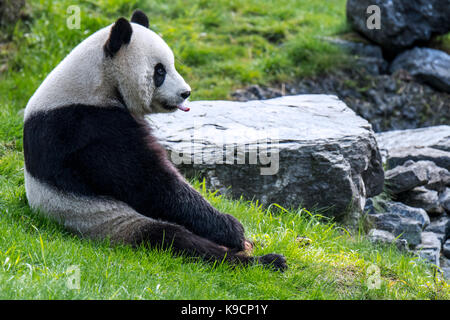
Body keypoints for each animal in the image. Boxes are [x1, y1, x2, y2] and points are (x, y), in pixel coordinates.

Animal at [22, 9, 286, 270]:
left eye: (172, 65)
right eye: (160, 71)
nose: (186, 92)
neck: (96, 81)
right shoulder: (87, 126)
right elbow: (149, 184)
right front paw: (232, 229)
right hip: (108, 222)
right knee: (173, 239)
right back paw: (259, 261)